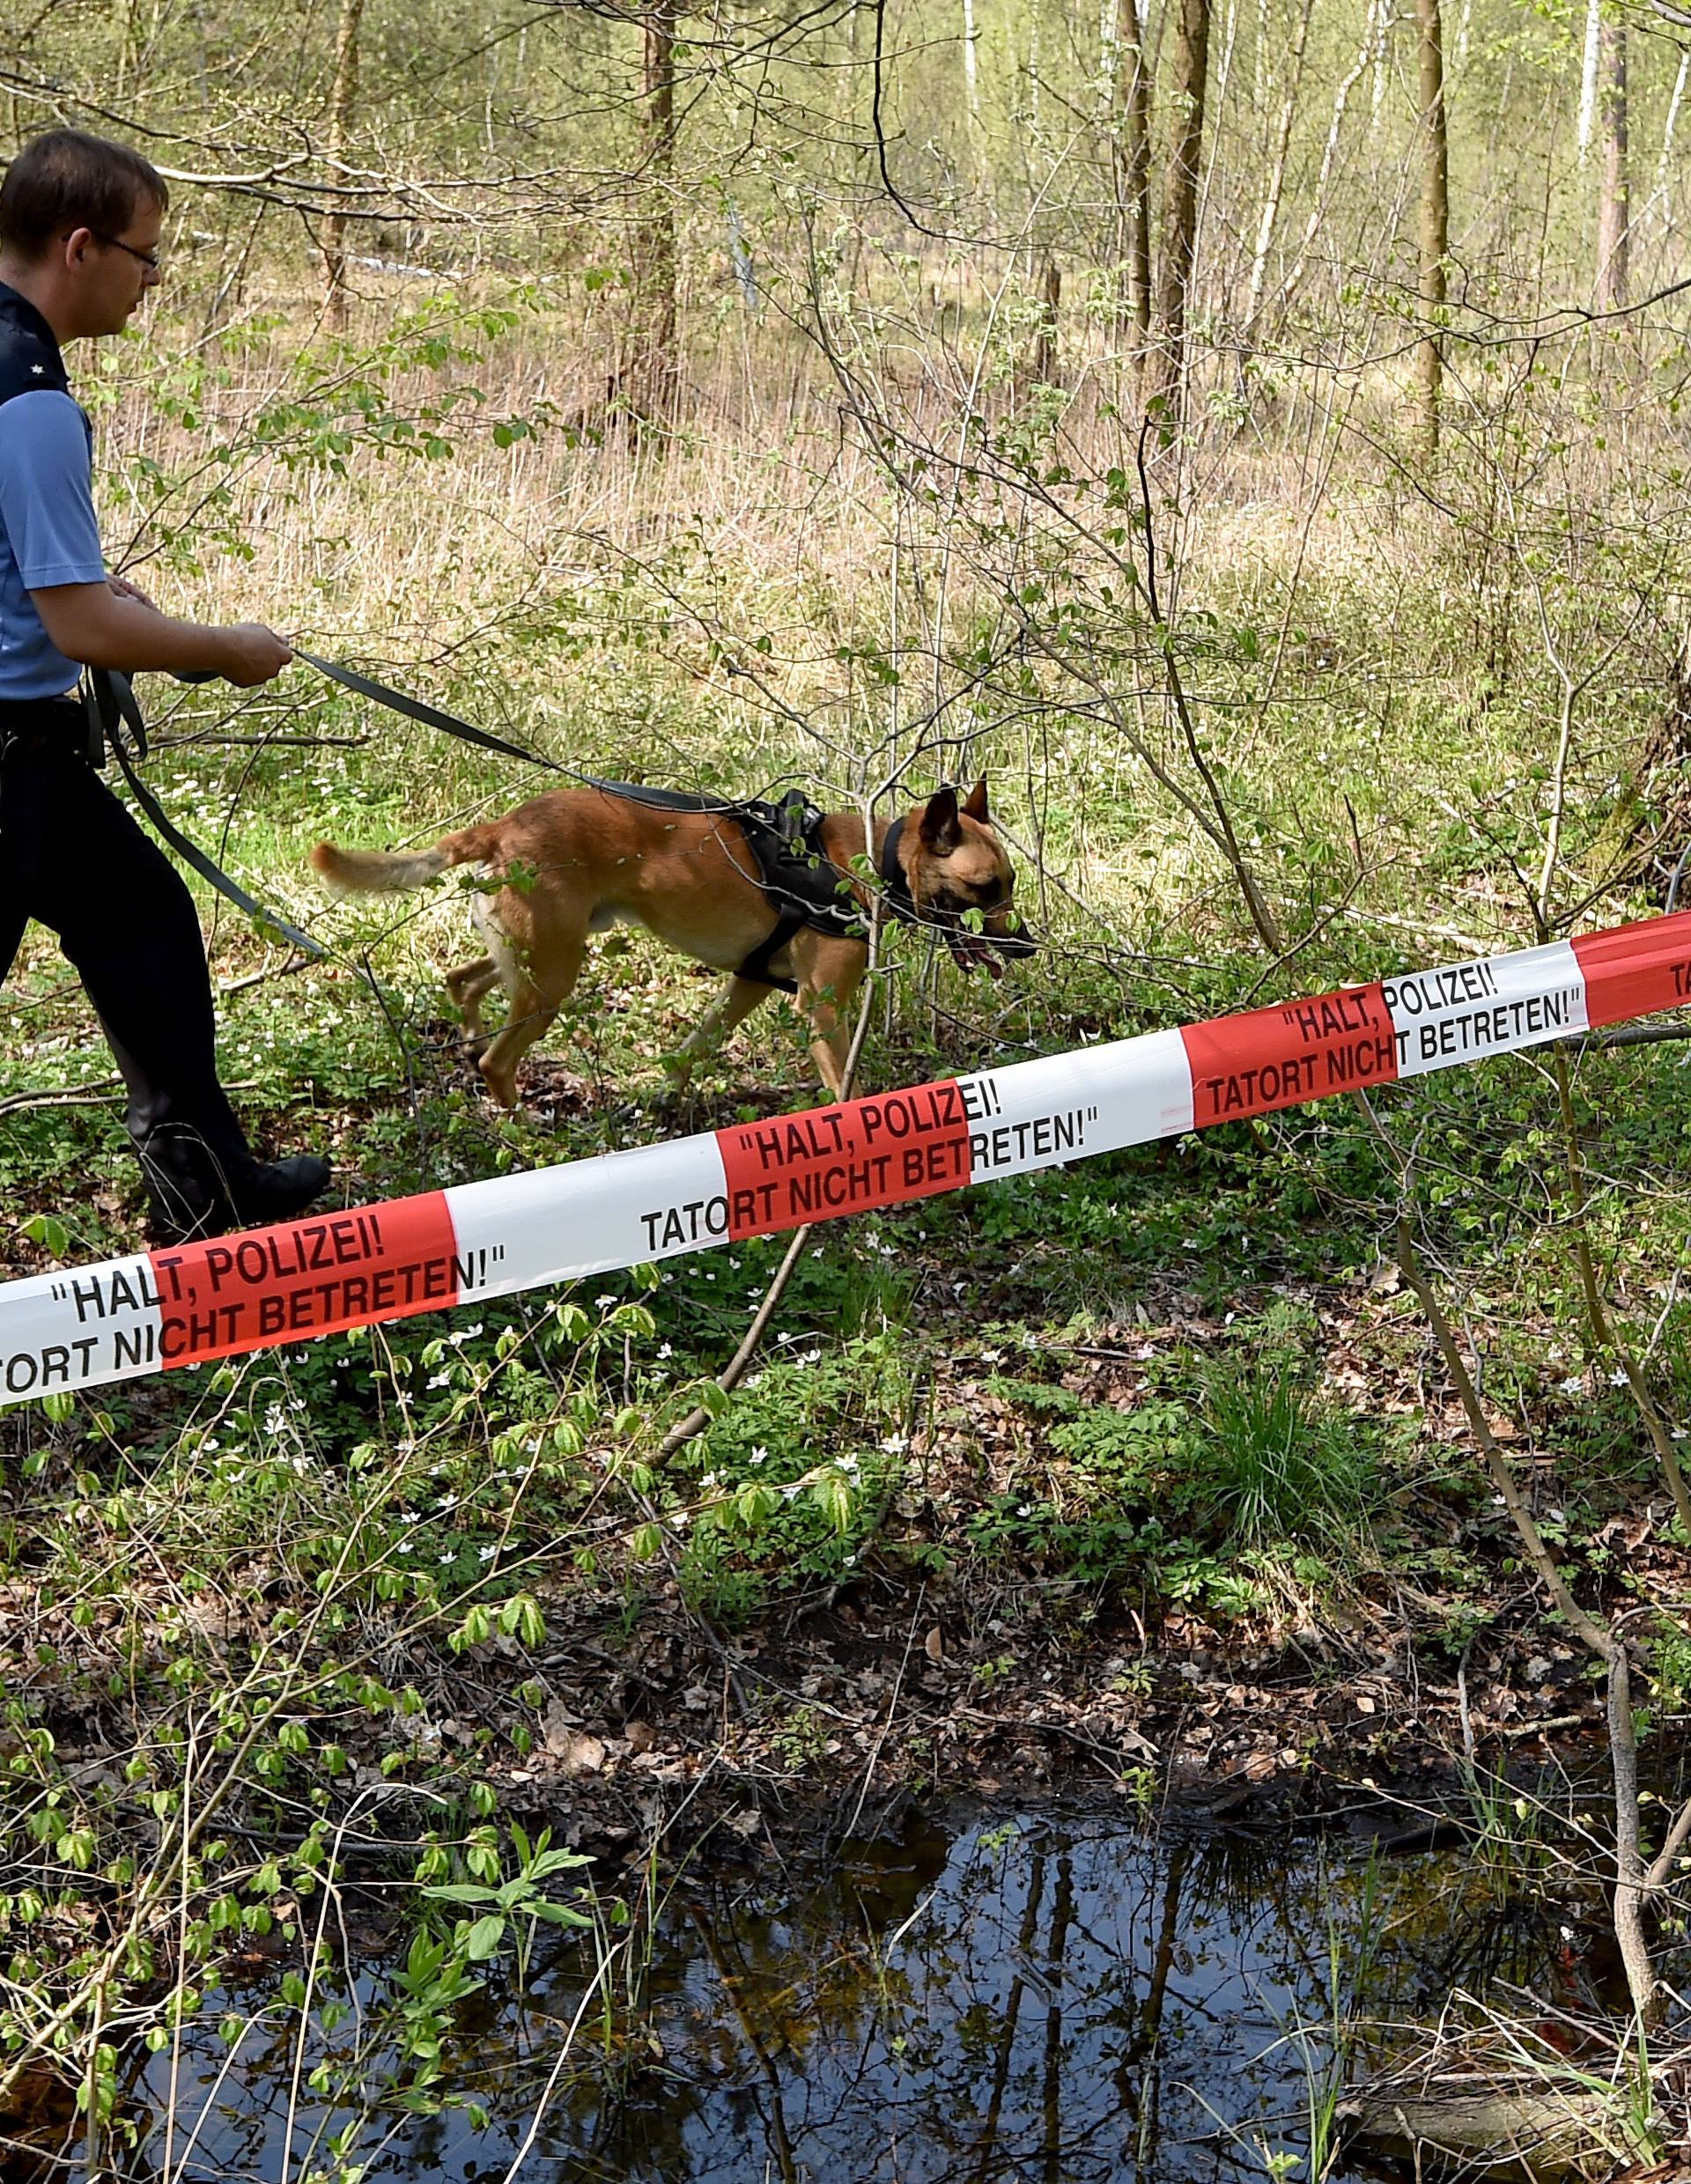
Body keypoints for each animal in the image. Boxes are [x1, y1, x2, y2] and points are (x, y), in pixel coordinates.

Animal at [314, 777, 1030, 1100]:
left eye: (1011, 881)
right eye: (985, 887)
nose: (1025, 947)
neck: (871, 862)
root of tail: (502, 826)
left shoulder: (747, 984)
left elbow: (690, 1053)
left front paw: (664, 1104)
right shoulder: (822, 1008)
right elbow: (845, 1091)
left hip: (540, 956)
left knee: (462, 980)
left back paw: (469, 1037)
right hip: (554, 975)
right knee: (497, 1059)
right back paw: (525, 1135)